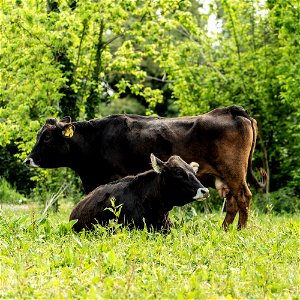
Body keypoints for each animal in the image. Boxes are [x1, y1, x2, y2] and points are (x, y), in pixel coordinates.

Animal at [24, 105, 266, 230]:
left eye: (46, 137)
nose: (28, 160)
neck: (96, 139)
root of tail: (231, 110)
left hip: (234, 174)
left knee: (243, 198)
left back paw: (240, 230)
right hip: (225, 179)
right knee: (232, 203)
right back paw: (224, 229)